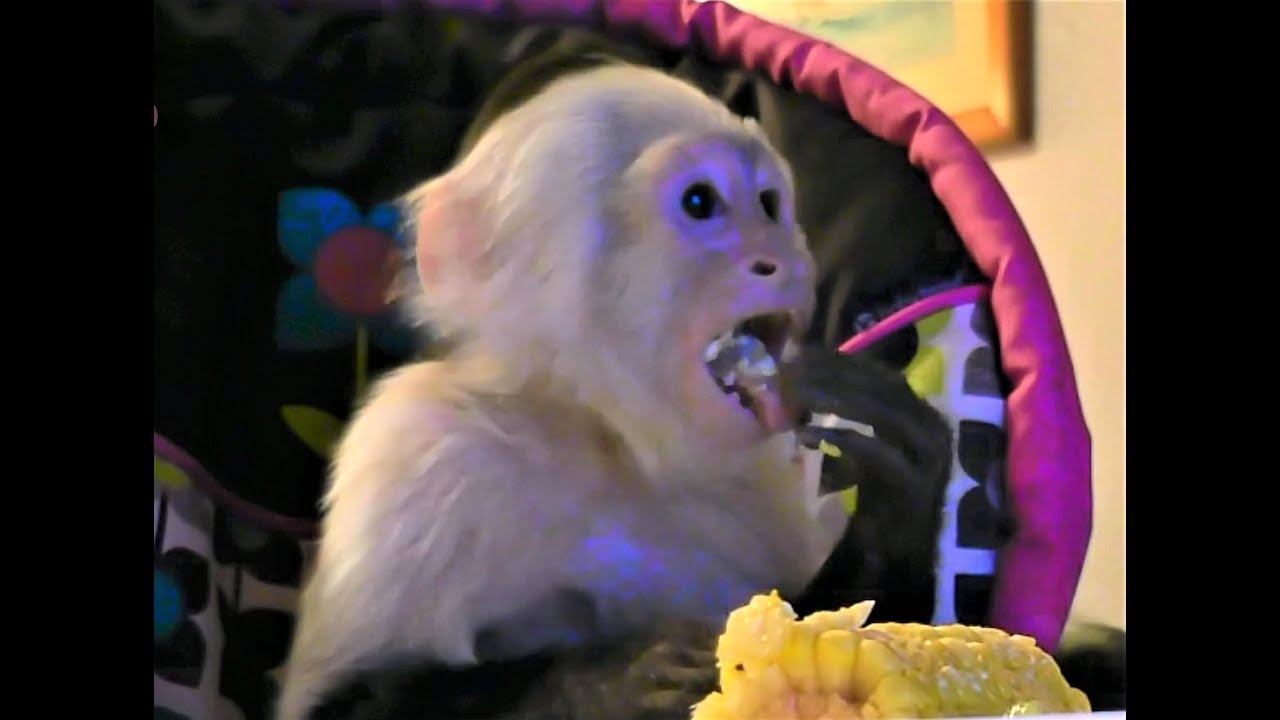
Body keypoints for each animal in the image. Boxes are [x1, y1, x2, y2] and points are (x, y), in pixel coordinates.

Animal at [275, 62, 855, 720]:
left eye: (768, 204)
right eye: (701, 202)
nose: (779, 259)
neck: (606, 437)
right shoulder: (421, 456)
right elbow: (339, 699)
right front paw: (619, 677)